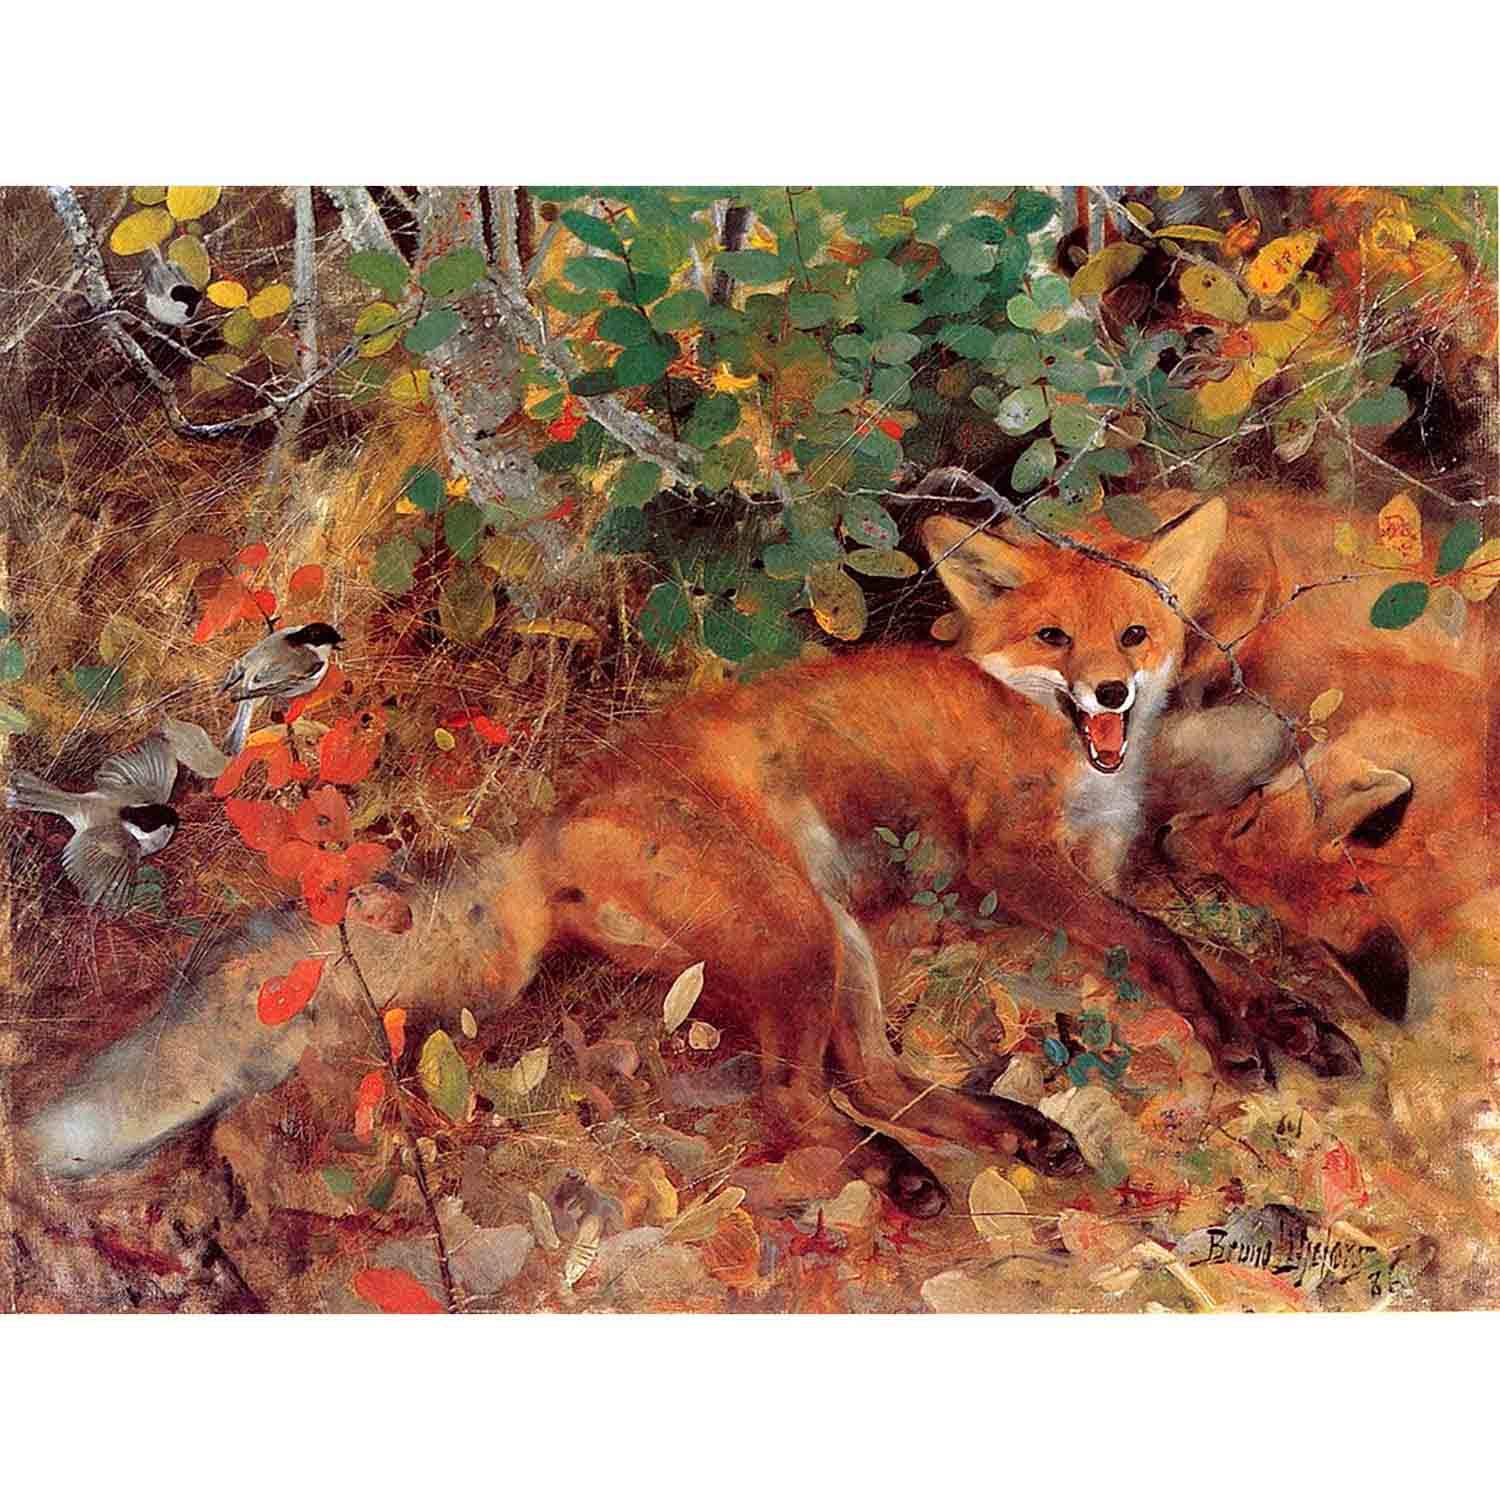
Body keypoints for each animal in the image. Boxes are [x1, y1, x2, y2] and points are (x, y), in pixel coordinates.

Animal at [18, 497, 1299, 1216]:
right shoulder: (1014, 862)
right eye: (1054, 638)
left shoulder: (1099, 860)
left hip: (832, 941)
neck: (1056, 743)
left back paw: (1006, 1132)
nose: (1114, 692)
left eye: (1135, 633)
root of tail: (548, 824)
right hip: (798, 938)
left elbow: (1195, 934)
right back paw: (898, 1178)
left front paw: (1283, 1021)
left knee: (873, 1080)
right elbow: (1166, 942)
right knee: (795, 1100)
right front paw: (1234, 1032)